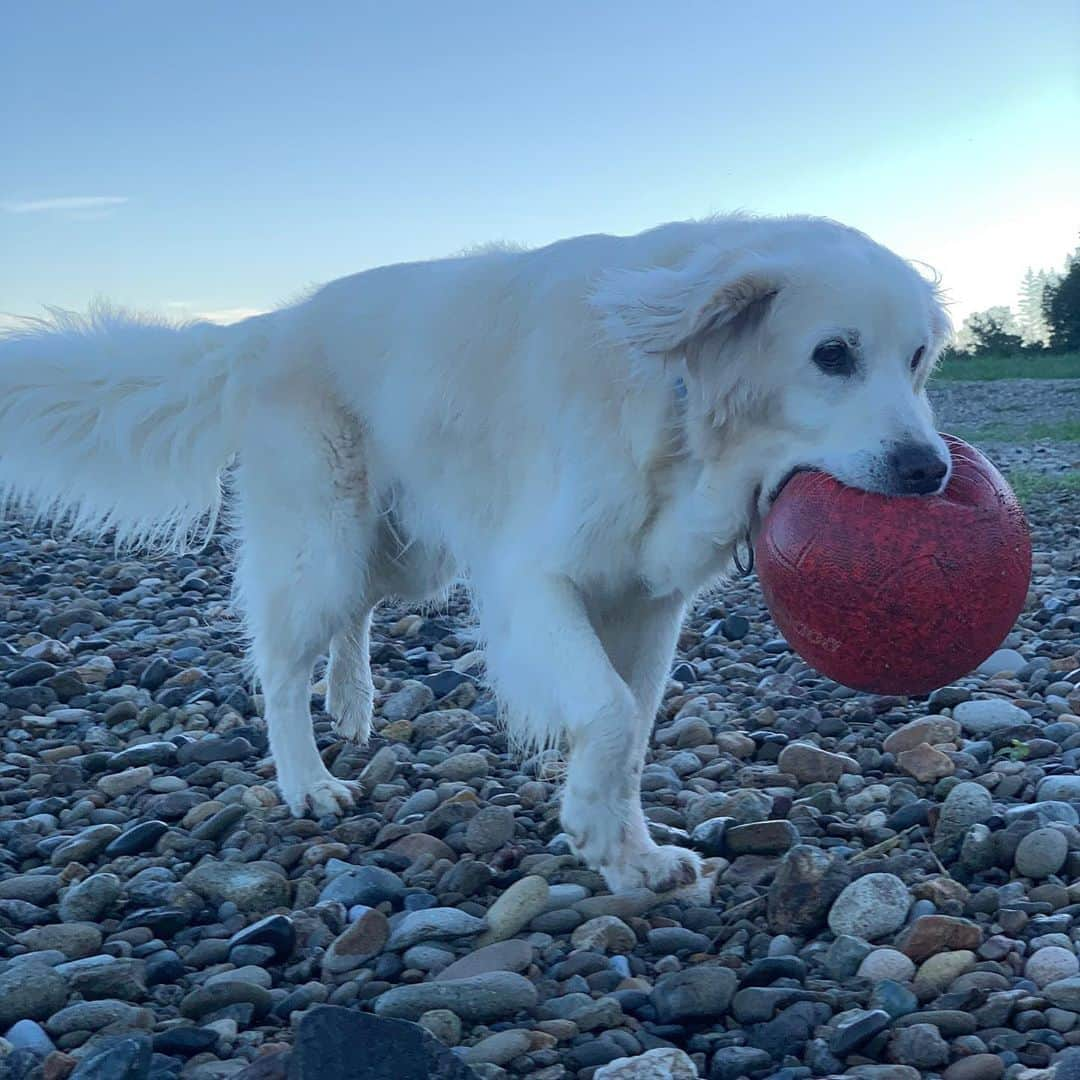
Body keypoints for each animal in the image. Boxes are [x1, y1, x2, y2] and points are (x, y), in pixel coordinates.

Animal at [0, 212, 950, 894]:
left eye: (918, 358)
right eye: (832, 355)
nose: (930, 471)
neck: (682, 403)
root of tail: (271, 325)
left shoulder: (650, 602)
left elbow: (635, 724)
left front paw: (633, 853)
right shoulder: (534, 577)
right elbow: (608, 713)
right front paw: (597, 832)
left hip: (406, 549)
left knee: (359, 614)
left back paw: (353, 700)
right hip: (323, 540)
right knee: (280, 663)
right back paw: (308, 779)